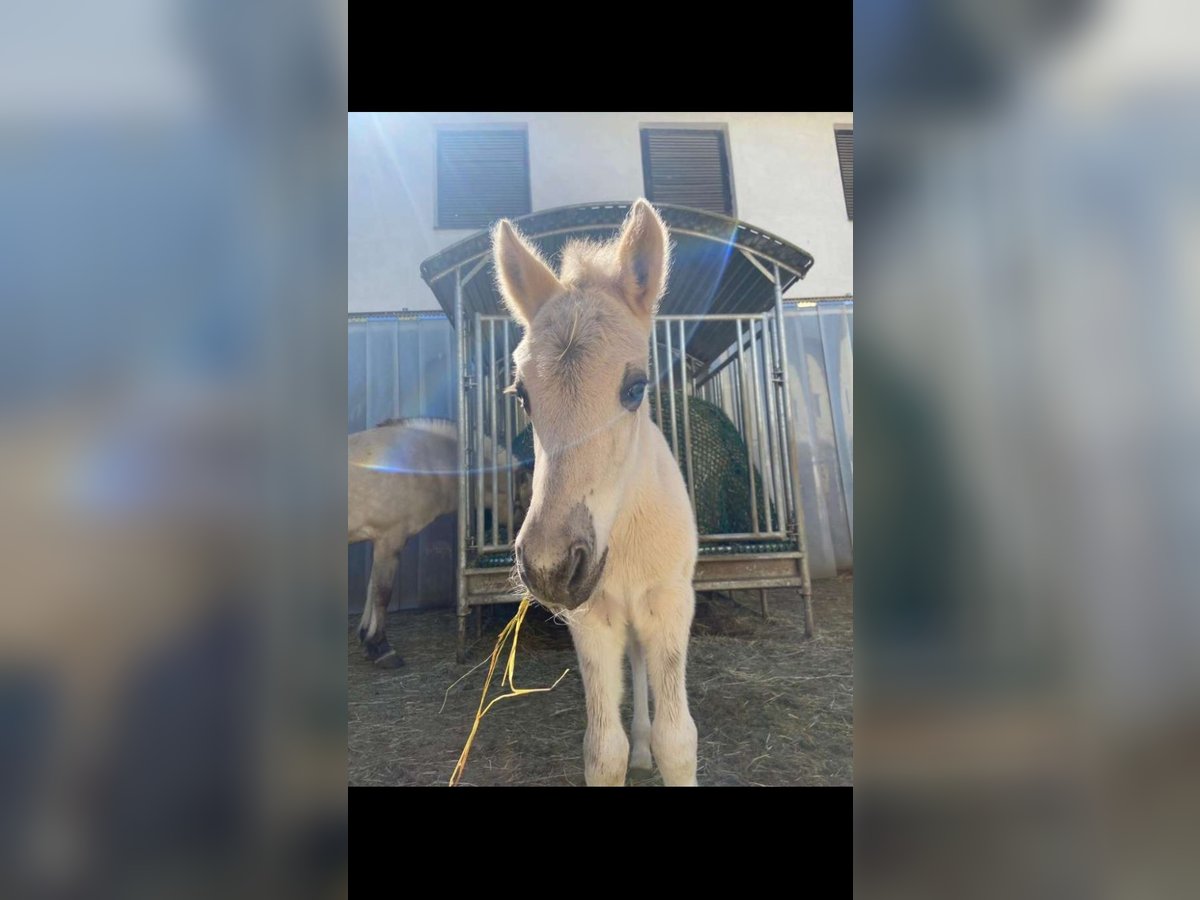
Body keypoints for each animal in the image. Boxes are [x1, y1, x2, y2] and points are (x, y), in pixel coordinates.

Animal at [492, 200, 700, 787]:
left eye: (636, 387)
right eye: (522, 395)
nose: (550, 566)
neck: (622, 538)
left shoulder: (671, 603)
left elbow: (680, 740)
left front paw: (659, 747)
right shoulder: (591, 620)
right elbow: (603, 749)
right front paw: (630, 751)